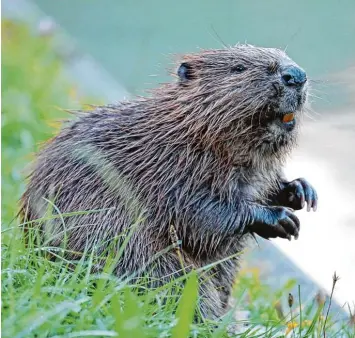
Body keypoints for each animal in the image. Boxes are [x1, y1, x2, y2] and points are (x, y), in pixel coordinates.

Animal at [20, 44, 318, 320]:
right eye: (239, 68)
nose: (296, 75)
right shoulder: (169, 166)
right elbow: (198, 215)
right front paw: (281, 219)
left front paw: (301, 191)